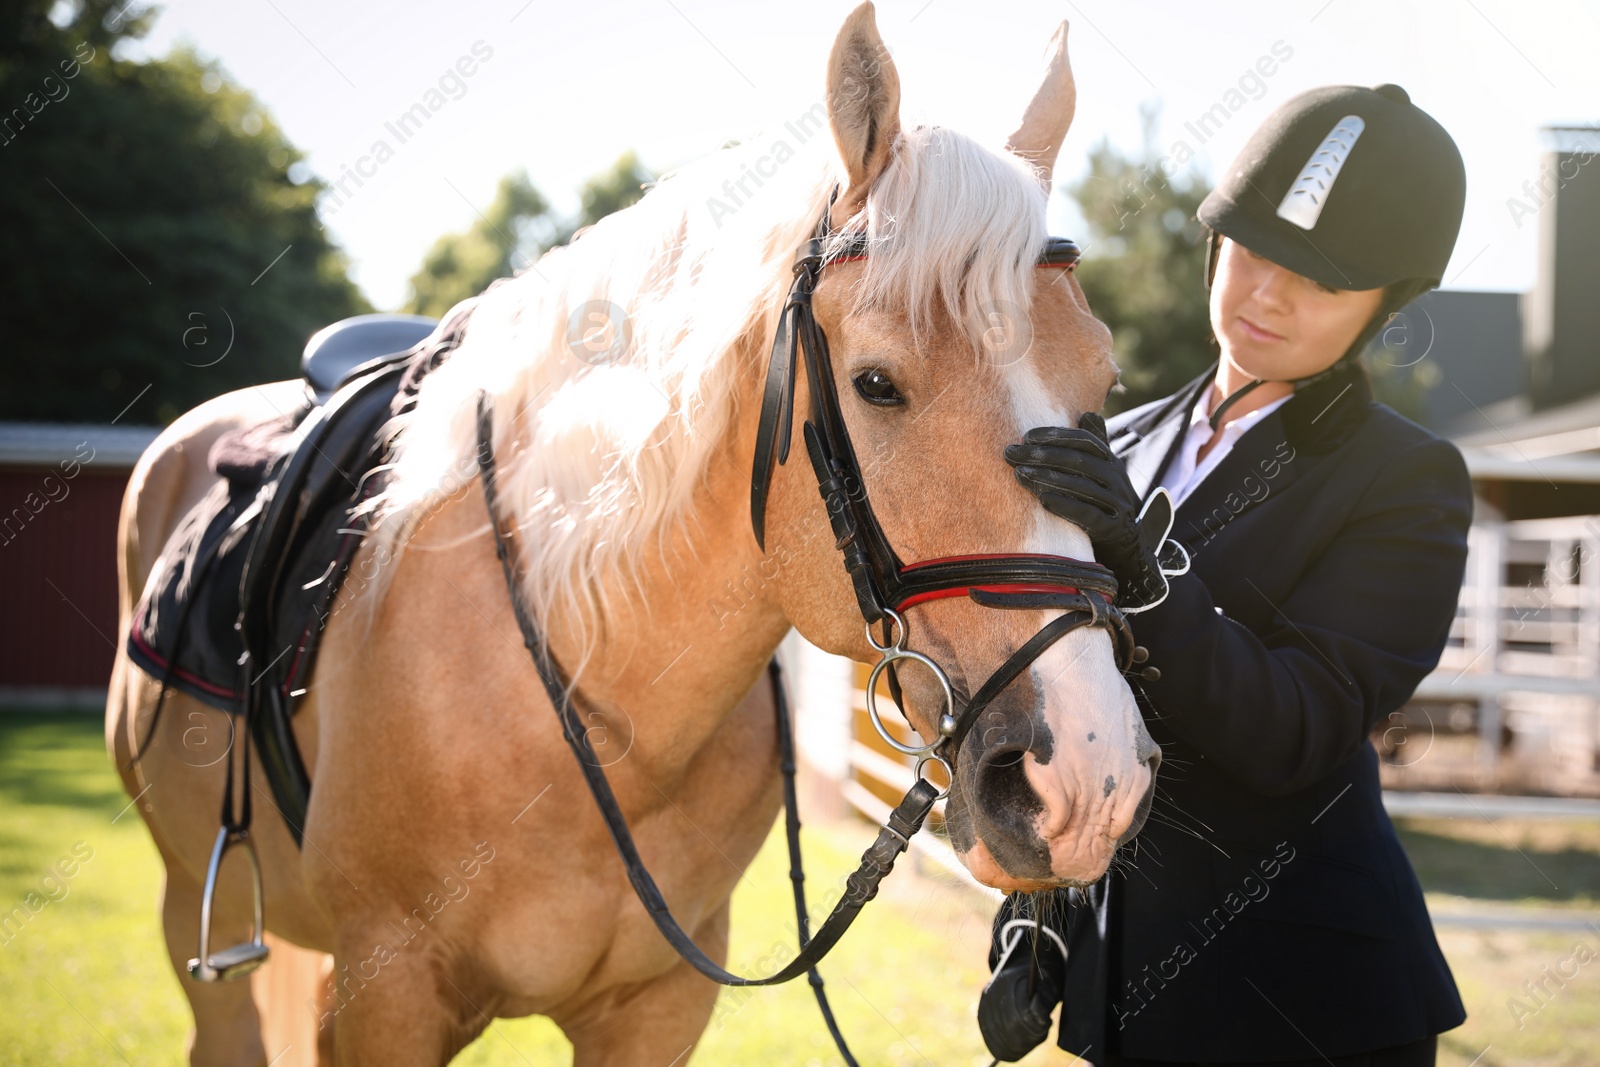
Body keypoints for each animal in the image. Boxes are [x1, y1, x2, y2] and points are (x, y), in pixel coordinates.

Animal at [109, 6, 1164, 1062]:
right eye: (876, 383)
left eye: (1104, 384)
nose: (1088, 775)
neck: (594, 689)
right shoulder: (382, 994)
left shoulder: (659, 1005)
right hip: (192, 912)